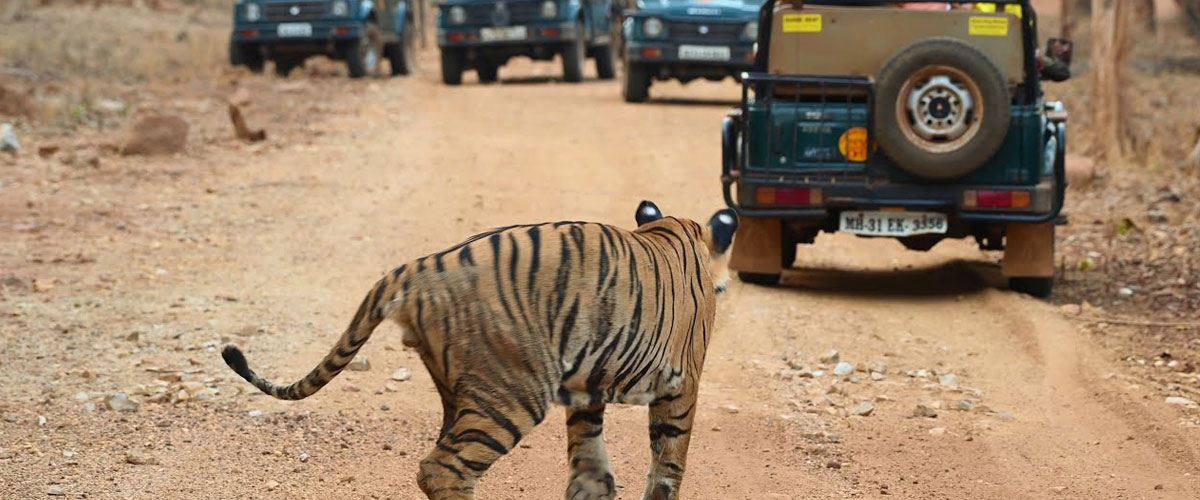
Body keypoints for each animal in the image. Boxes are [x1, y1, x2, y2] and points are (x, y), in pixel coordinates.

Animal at [220, 200, 734, 496]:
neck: (675, 230)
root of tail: (418, 266)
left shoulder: (587, 387)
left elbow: (590, 462)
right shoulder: (680, 386)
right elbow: (669, 464)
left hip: (463, 389)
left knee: (440, 462)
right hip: (512, 394)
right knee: (442, 468)